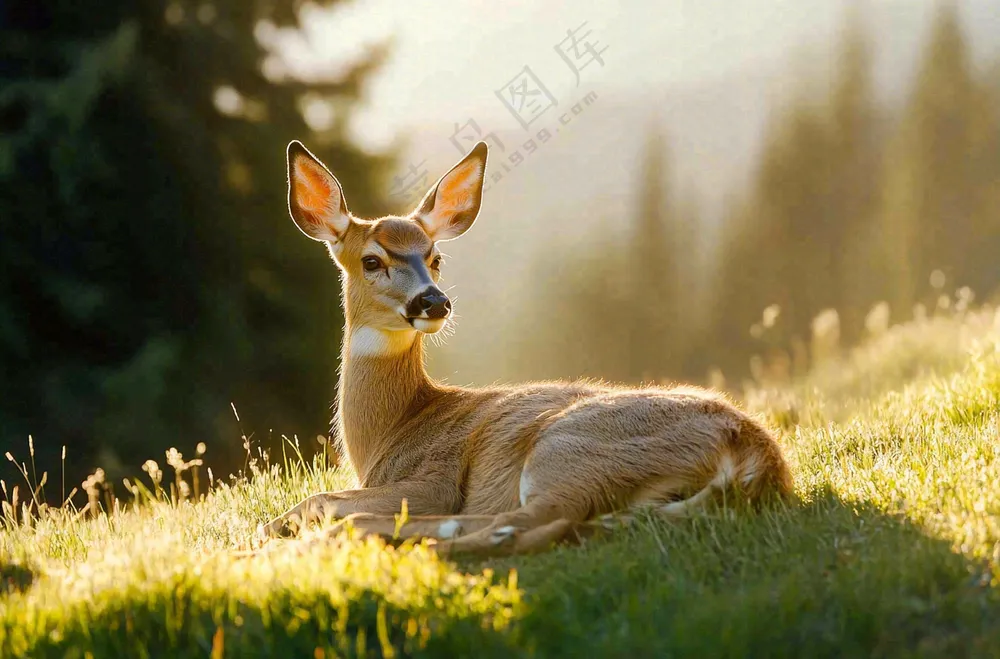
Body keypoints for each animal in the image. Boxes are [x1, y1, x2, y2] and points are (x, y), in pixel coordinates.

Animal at [256, 139, 793, 556]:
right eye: (371, 260)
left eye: (436, 256)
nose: (434, 301)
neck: (391, 429)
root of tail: (757, 455)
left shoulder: (434, 479)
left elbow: (322, 498)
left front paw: (278, 532)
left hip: (569, 449)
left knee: (530, 523)